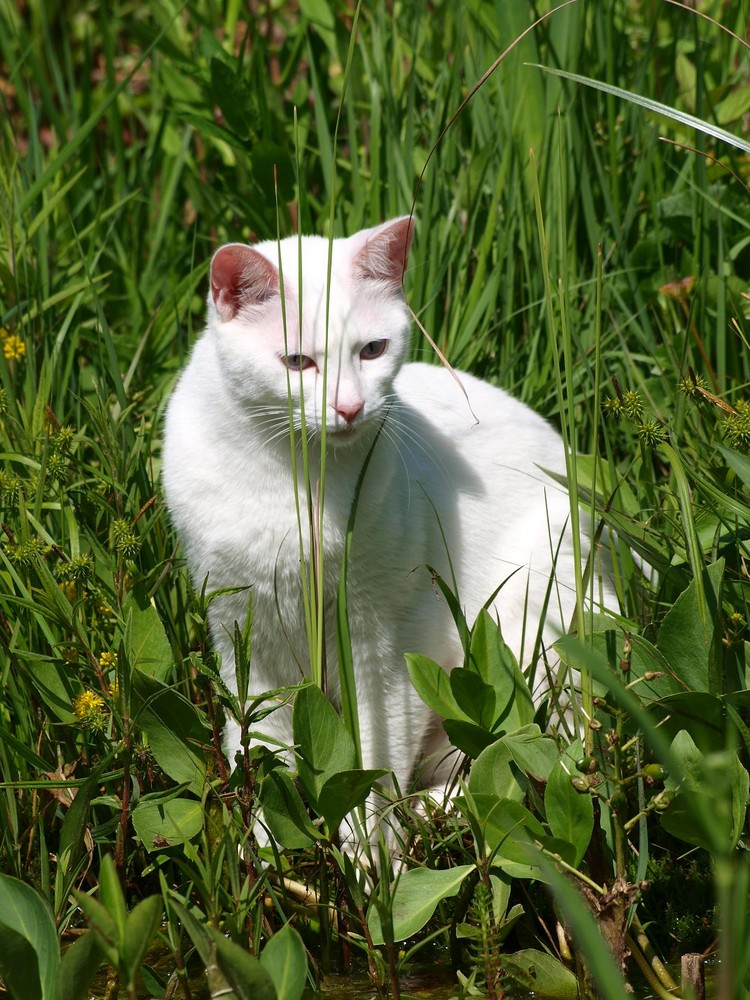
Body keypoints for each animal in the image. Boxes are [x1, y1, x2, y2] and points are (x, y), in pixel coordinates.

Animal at [164, 221, 616, 828]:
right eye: (297, 362)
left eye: (372, 350)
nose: (350, 408)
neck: (295, 481)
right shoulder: (245, 639)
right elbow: (260, 753)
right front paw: (263, 844)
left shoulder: (384, 645)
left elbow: (375, 769)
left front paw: (369, 848)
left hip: (538, 622)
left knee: (522, 762)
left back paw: (433, 811)